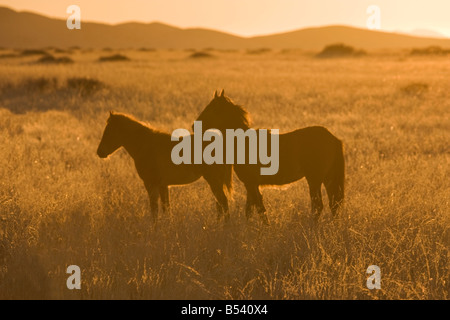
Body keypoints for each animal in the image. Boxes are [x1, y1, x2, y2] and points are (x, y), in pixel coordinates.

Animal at [98, 111, 232, 224]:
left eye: (109, 131)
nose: (99, 152)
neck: (145, 146)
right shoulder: (163, 185)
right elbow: (166, 209)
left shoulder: (152, 184)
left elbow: (155, 210)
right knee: (220, 205)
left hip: (213, 180)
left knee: (224, 203)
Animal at [194, 90, 344, 224]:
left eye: (213, 108)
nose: (194, 125)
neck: (244, 142)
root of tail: (332, 138)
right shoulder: (251, 184)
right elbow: (250, 210)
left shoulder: (250, 183)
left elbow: (259, 208)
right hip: (327, 178)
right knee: (334, 205)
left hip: (314, 179)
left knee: (319, 206)